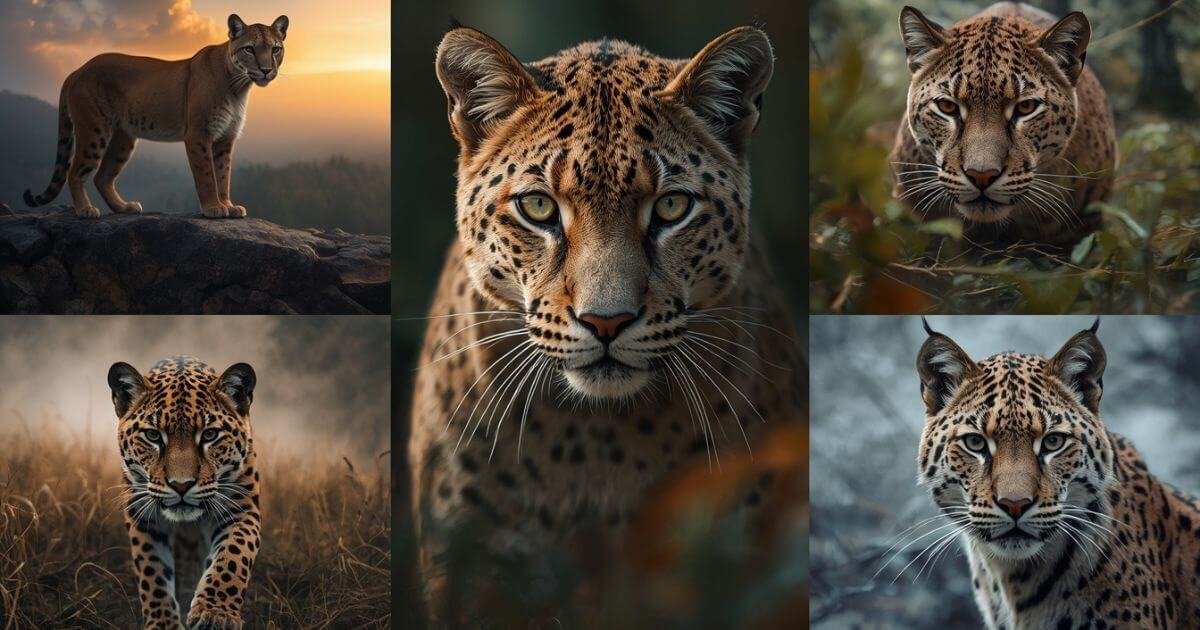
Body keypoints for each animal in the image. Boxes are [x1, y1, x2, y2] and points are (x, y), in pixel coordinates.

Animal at [24, 14, 288, 219]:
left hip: (124, 137)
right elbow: (207, 175)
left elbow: (224, 175)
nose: (266, 70)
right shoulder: (198, 134)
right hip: (94, 130)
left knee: (102, 176)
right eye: (249, 49)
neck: (238, 86)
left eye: (275, 48)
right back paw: (85, 210)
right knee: (75, 171)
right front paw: (213, 207)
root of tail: (78, 69)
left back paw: (124, 207)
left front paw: (228, 206)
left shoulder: (225, 137)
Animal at [108, 356, 260, 630]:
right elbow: (153, 574)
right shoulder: (144, 519)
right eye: (153, 435)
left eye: (210, 434)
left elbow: (233, 555)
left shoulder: (242, 509)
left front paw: (215, 613)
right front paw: (163, 624)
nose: (181, 485)